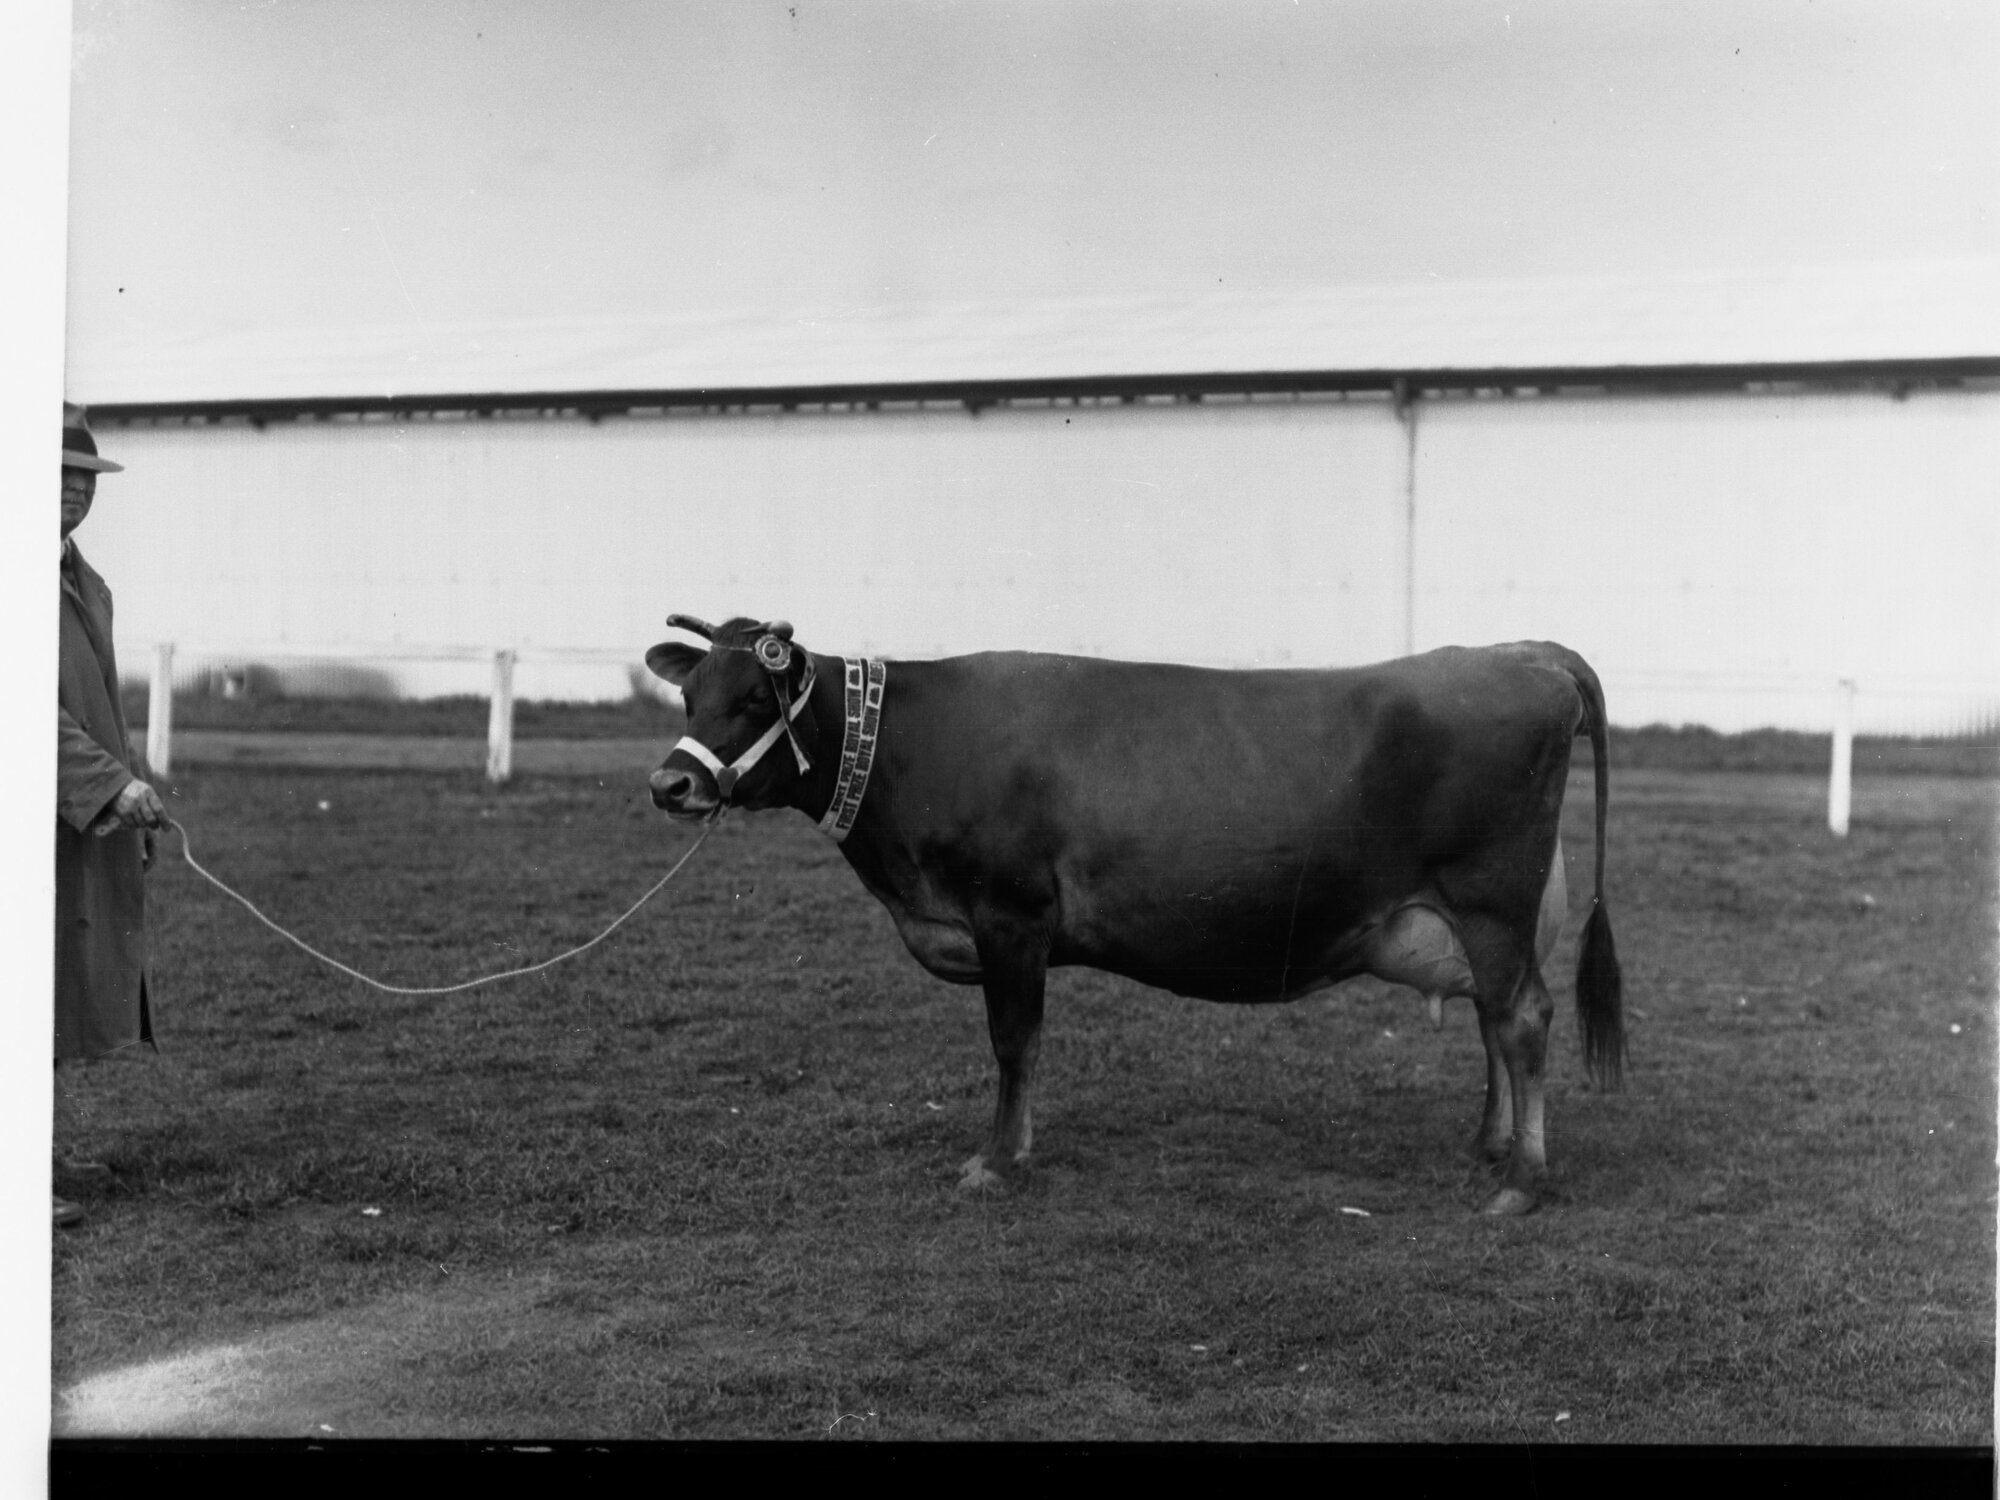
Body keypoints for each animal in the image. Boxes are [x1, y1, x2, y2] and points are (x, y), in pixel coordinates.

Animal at [645, 616, 1624, 1215]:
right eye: (690, 697)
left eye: (753, 698)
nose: (670, 783)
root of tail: (1524, 653)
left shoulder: (1010, 914)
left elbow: (1015, 1041)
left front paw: (999, 1161)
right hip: (1487, 917)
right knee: (1494, 1019)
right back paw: (1489, 1146)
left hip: (1491, 898)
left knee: (1522, 1019)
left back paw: (1522, 1180)